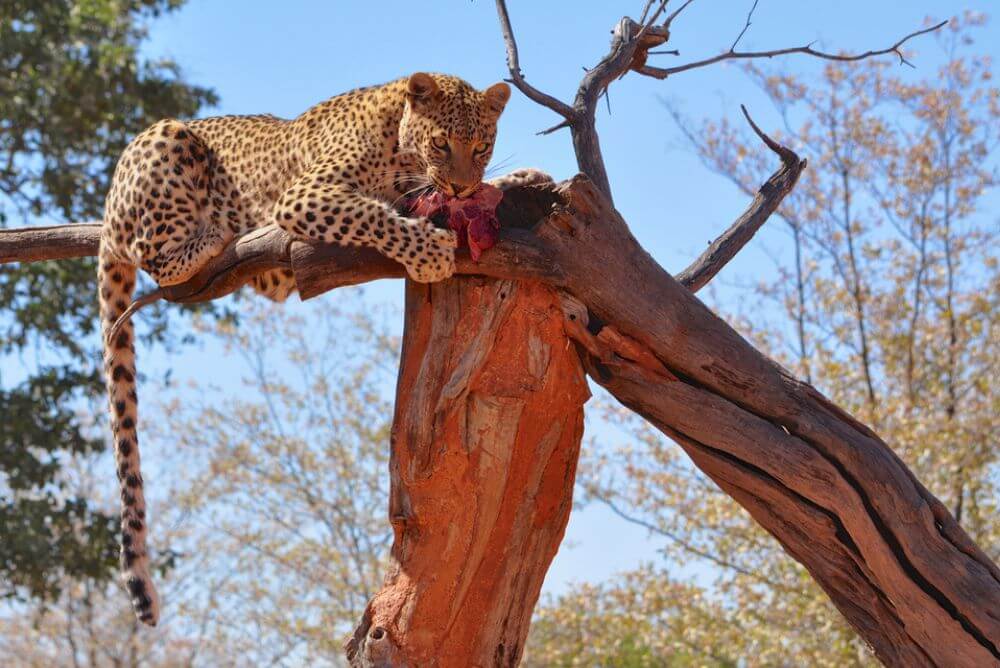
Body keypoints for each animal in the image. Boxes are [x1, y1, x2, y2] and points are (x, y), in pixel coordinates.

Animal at [97, 72, 550, 626]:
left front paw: (522, 179)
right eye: (442, 143)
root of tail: (109, 200)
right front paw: (429, 254)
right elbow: (373, 215)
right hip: (167, 141)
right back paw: (213, 235)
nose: (462, 185)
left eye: (482, 146)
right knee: (153, 253)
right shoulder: (304, 195)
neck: (399, 143)